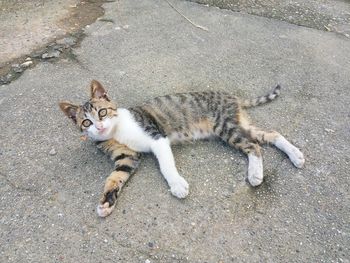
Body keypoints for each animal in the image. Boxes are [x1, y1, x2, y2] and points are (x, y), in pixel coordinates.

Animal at [59, 80, 304, 219]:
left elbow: (166, 165)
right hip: (237, 123)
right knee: (270, 135)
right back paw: (295, 155)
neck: (115, 132)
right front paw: (106, 202)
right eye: (86, 122)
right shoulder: (125, 158)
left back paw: (255, 174)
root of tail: (231, 96)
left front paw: (177, 185)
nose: (99, 127)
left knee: (253, 145)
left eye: (102, 112)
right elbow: (115, 177)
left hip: (224, 125)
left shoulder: (156, 137)